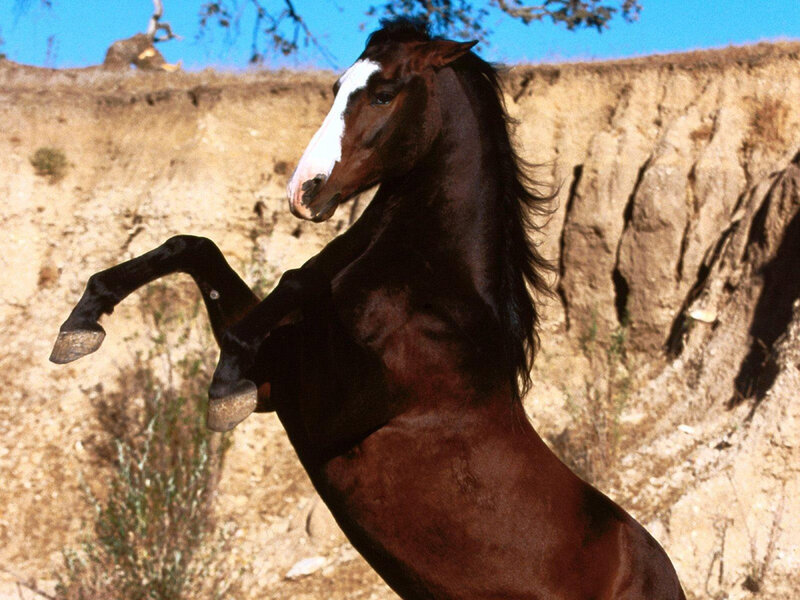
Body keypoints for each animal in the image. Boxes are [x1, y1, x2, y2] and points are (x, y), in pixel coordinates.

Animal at [50, 19, 685, 600]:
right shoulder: (276, 384)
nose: (304, 192)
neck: (435, 300)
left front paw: (221, 386)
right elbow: (195, 248)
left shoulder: (333, 405)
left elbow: (298, 280)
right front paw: (81, 323)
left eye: (384, 94)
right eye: (337, 86)